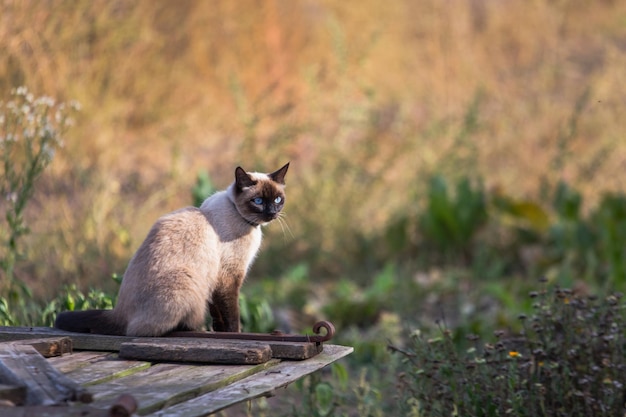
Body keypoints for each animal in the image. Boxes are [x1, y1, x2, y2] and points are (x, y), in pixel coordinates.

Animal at [53, 162, 288, 334]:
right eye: (258, 201)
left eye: (278, 199)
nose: (271, 213)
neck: (243, 220)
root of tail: (118, 312)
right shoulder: (227, 278)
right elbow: (231, 315)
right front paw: (233, 334)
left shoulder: (213, 281)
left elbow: (218, 314)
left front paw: (219, 331)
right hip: (186, 281)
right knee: (143, 330)